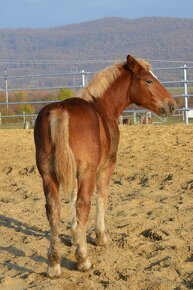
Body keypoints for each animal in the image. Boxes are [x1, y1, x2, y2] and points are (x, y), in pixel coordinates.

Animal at [34, 53, 176, 278]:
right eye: (148, 80)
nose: (171, 105)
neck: (102, 107)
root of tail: (60, 112)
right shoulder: (105, 167)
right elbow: (102, 197)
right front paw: (99, 237)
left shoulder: (72, 173)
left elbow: (72, 198)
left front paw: (75, 235)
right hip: (87, 172)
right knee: (83, 205)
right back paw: (83, 260)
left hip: (48, 175)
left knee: (53, 210)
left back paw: (54, 265)